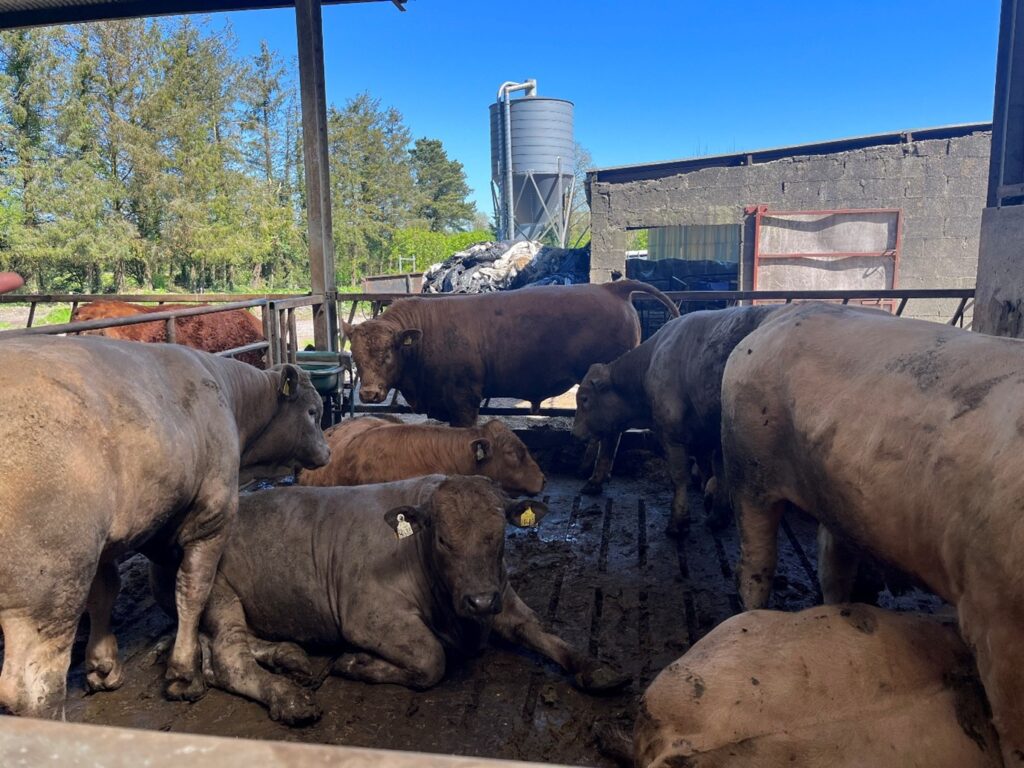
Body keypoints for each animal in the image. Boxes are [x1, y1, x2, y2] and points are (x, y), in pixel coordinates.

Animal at [0, 336, 330, 718]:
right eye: (312, 412)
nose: (327, 451)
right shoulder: (212, 515)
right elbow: (192, 589)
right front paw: (184, 674)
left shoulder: (111, 541)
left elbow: (105, 592)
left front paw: (103, 667)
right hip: (53, 584)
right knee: (33, 688)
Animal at [185, 476, 629, 724]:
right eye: (443, 539)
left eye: (499, 535)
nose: (480, 601)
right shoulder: (367, 614)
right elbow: (432, 659)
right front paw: (356, 663)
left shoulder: (502, 595)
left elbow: (538, 629)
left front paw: (595, 667)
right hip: (218, 592)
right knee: (229, 658)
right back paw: (289, 697)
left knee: (217, 653)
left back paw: (287, 656)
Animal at [573, 306, 778, 535]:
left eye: (584, 399)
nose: (574, 433)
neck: (650, 363)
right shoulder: (716, 438)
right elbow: (721, 473)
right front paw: (718, 517)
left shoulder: (672, 434)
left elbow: (679, 476)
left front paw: (678, 523)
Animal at [720, 301, 1024, 764]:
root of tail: (777, 317)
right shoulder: (995, 615)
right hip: (748, 464)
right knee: (756, 562)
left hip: (837, 496)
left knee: (833, 566)